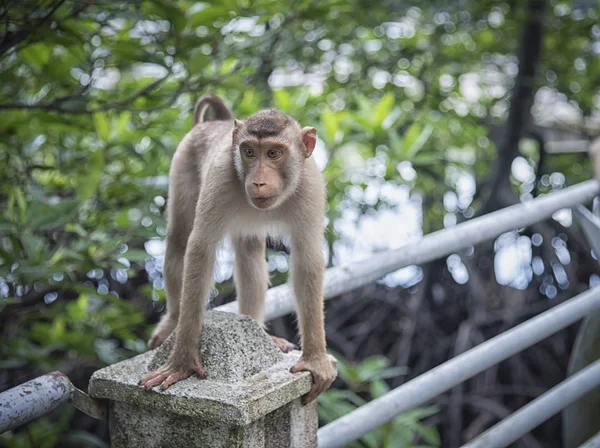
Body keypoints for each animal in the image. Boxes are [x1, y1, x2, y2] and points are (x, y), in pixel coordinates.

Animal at [141, 93, 338, 404]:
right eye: (249, 152)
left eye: (274, 153)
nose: (258, 180)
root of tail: (216, 122)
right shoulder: (220, 178)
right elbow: (199, 251)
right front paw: (182, 362)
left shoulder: (310, 187)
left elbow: (307, 259)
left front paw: (316, 360)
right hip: (182, 165)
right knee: (178, 243)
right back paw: (172, 321)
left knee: (249, 253)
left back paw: (257, 326)